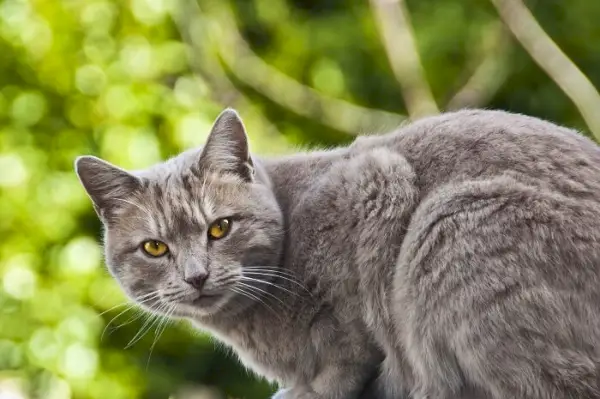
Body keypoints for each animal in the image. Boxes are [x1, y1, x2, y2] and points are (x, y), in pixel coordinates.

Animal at [74, 109, 600, 399]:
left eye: (220, 228)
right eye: (155, 247)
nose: (196, 276)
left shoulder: (378, 182)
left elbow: (350, 339)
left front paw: (318, 389)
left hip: (453, 220)